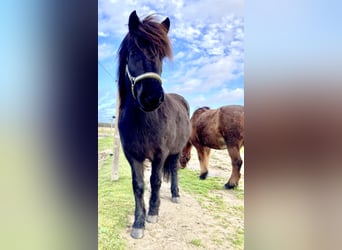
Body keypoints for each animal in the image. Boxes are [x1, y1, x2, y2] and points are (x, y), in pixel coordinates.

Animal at [117, 10, 191, 239]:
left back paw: (175, 194)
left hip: (176, 150)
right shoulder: (132, 156)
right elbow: (139, 186)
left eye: (161, 56)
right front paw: (139, 223)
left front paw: (153, 212)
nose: (152, 98)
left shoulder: (160, 154)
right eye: (133, 51)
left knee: (174, 170)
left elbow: (155, 182)